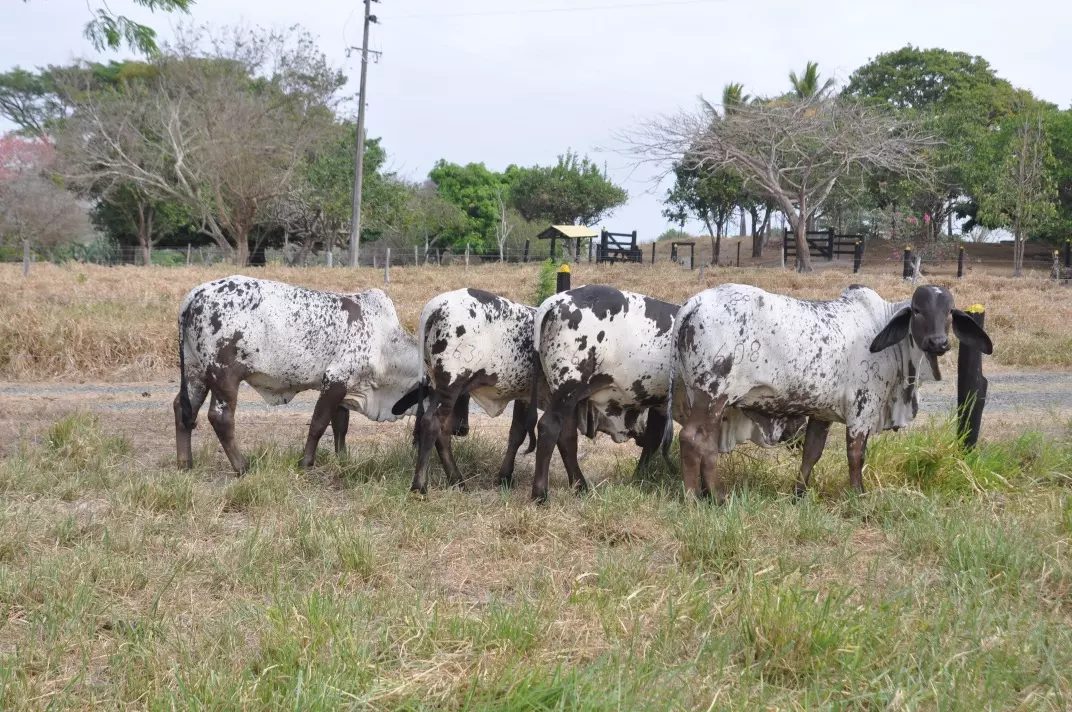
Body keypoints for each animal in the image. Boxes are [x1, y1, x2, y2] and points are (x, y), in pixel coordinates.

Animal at [173, 276, 420, 471]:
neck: (385, 343)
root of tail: (197, 293)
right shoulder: (335, 380)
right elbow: (318, 424)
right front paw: (305, 463)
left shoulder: (345, 387)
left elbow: (341, 426)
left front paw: (343, 459)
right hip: (224, 375)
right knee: (220, 417)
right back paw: (242, 466)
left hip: (196, 372)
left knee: (183, 409)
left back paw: (185, 463)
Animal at [673, 283, 990, 499]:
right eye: (918, 310)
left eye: (949, 313)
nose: (938, 342)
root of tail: (695, 301)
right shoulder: (862, 410)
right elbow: (856, 456)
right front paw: (859, 495)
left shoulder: (821, 413)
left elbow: (811, 454)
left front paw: (799, 494)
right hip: (712, 395)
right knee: (691, 439)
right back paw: (699, 498)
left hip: (711, 401)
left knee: (706, 443)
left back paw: (710, 495)